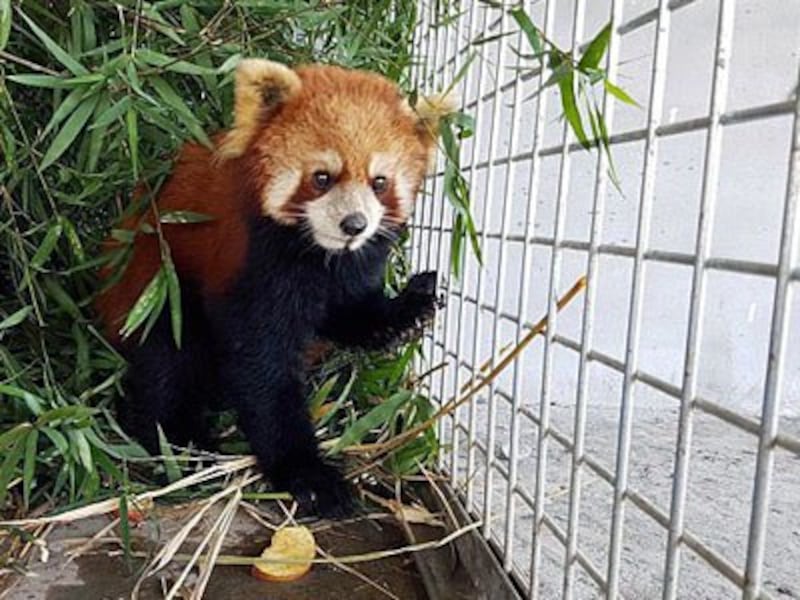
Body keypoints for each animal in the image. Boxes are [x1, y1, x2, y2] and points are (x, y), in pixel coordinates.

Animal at [95, 59, 450, 516]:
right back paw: (179, 442)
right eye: (322, 177)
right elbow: (261, 366)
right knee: (166, 360)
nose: (353, 225)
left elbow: (353, 311)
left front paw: (407, 312)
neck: (321, 256)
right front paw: (306, 473)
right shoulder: (253, 264)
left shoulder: (356, 266)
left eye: (380, 182)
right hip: (156, 286)